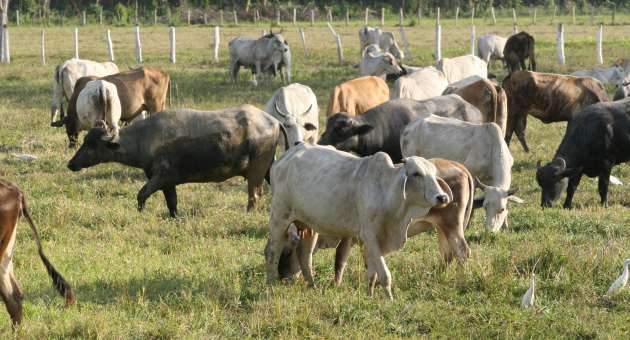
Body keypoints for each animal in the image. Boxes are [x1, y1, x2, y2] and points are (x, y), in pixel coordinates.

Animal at [67, 105, 284, 216]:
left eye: (92, 145)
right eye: (84, 141)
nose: (71, 164)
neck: (143, 137)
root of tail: (273, 121)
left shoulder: (160, 177)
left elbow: (141, 194)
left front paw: (140, 213)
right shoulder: (167, 182)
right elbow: (172, 202)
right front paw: (174, 217)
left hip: (256, 170)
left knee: (254, 195)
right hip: (268, 169)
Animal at [264, 142, 466, 298]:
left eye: (434, 174)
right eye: (416, 173)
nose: (442, 197)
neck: (386, 192)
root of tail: (285, 157)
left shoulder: (379, 240)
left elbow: (372, 273)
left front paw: (370, 295)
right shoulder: (369, 235)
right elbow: (384, 274)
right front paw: (389, 298)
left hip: (309, 225)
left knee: (305, 256)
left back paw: (312, 286)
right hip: (279, 218)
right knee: (272, 252)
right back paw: (270, 286)